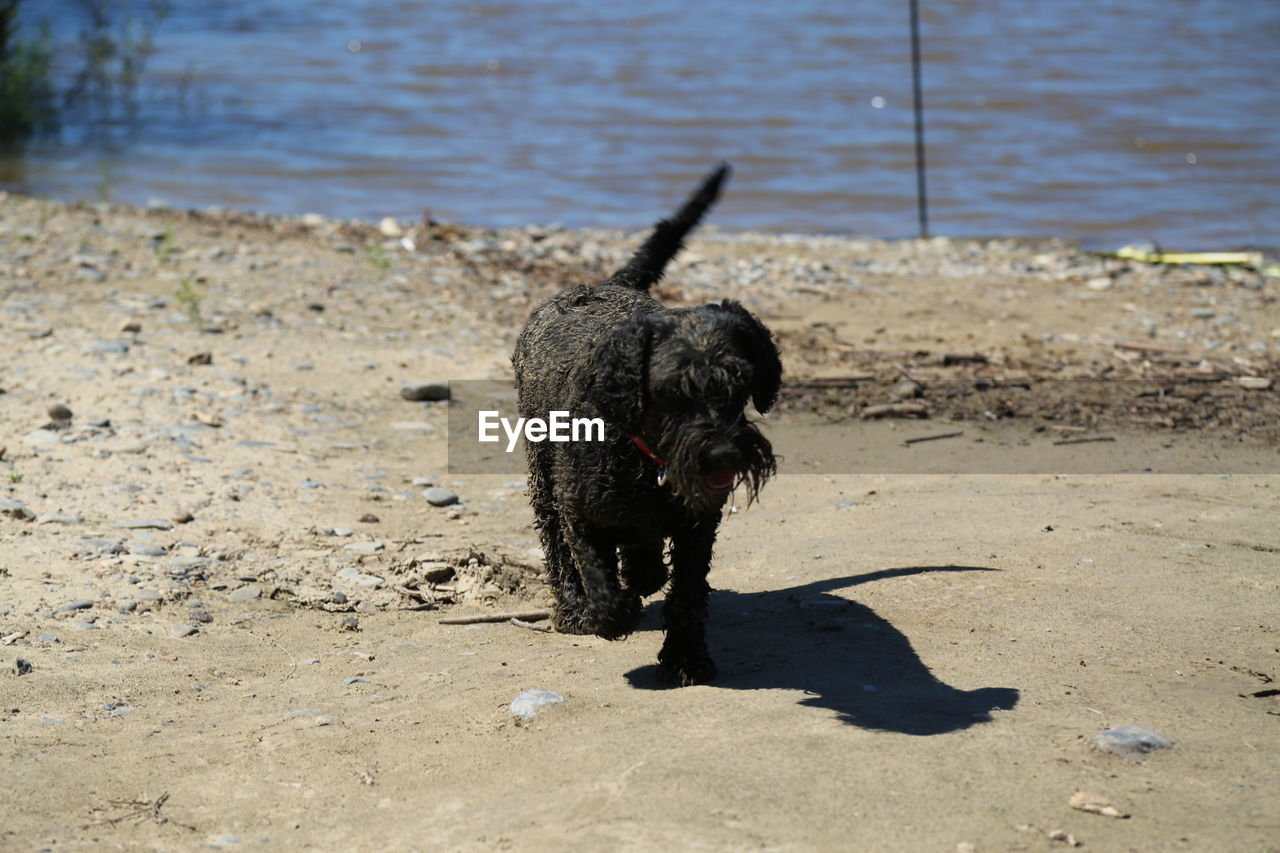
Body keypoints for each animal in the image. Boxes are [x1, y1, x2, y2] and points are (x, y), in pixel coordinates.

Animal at [512, 163, 778, 686]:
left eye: (739, 383)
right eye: (672, 389)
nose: (724, 453)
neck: (642, 453)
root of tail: (611, 282)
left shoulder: (698, 526)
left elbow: (687, 594)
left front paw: (686, 659)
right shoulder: (581, 514)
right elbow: (600, 582)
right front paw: (606, 614)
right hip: (543, 476)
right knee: (556, 544)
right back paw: (573, 609)